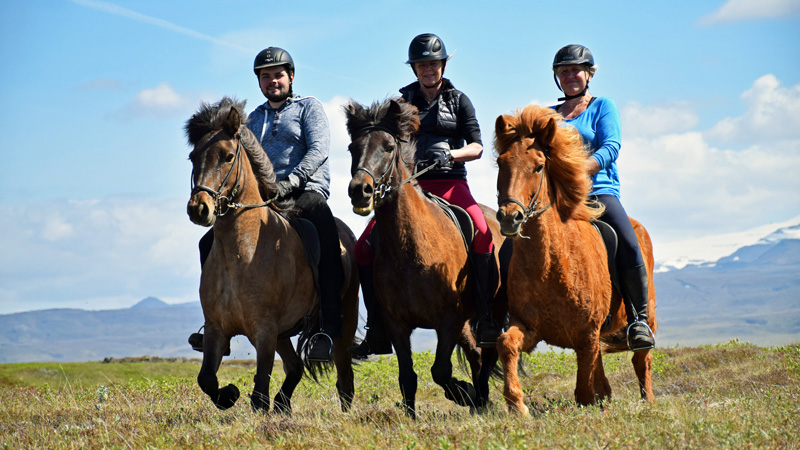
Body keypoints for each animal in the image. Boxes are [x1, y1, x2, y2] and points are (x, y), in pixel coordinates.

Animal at [184, 96, 360, 414]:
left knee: (344, 380)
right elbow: (207, 380)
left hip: (343, 320)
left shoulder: (264, 330)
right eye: (193, 157)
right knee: (295, 369)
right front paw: (229, 394)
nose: (199, 208)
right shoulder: (217, 329)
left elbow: (258, 393)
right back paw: (282, 404)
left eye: (228, 156)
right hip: (283, 333)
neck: (242, 251)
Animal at [344, 98, 506, 418]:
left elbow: (440, 371)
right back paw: (480, 401)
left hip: (489, 313)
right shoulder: (397, 324)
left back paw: (480, 398)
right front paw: (411, 415)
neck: (411, 248)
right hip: (466, 323)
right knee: (476, 355)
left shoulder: (448, 320)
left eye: (388, 147)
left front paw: (464, 393)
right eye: (352, 148)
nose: (360, 191)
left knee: (488, 353)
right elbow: (407, 375)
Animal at [494, 105, 656, 414]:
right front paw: (517, 406)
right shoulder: (527, 326)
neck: (549, 266)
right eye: (500, 163)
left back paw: (648, 401)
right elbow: (506, 343)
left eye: (539, 166)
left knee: (641, 359)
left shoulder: (586, 333)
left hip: (648, 315)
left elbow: (583, 389)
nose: (510, 217)